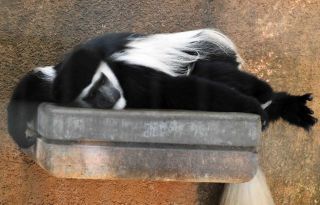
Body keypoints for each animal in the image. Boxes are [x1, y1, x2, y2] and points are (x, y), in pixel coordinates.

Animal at [7, 28, 318, 205]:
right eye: (91, 96)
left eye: (99, 85)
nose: (108, 98)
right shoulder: (56, 80)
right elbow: (29, 86)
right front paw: (20, 133)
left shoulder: (131, 73)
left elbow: (182, 89)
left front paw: (252, 107)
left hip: (214, 62)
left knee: (209, 75)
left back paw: (271, 101)